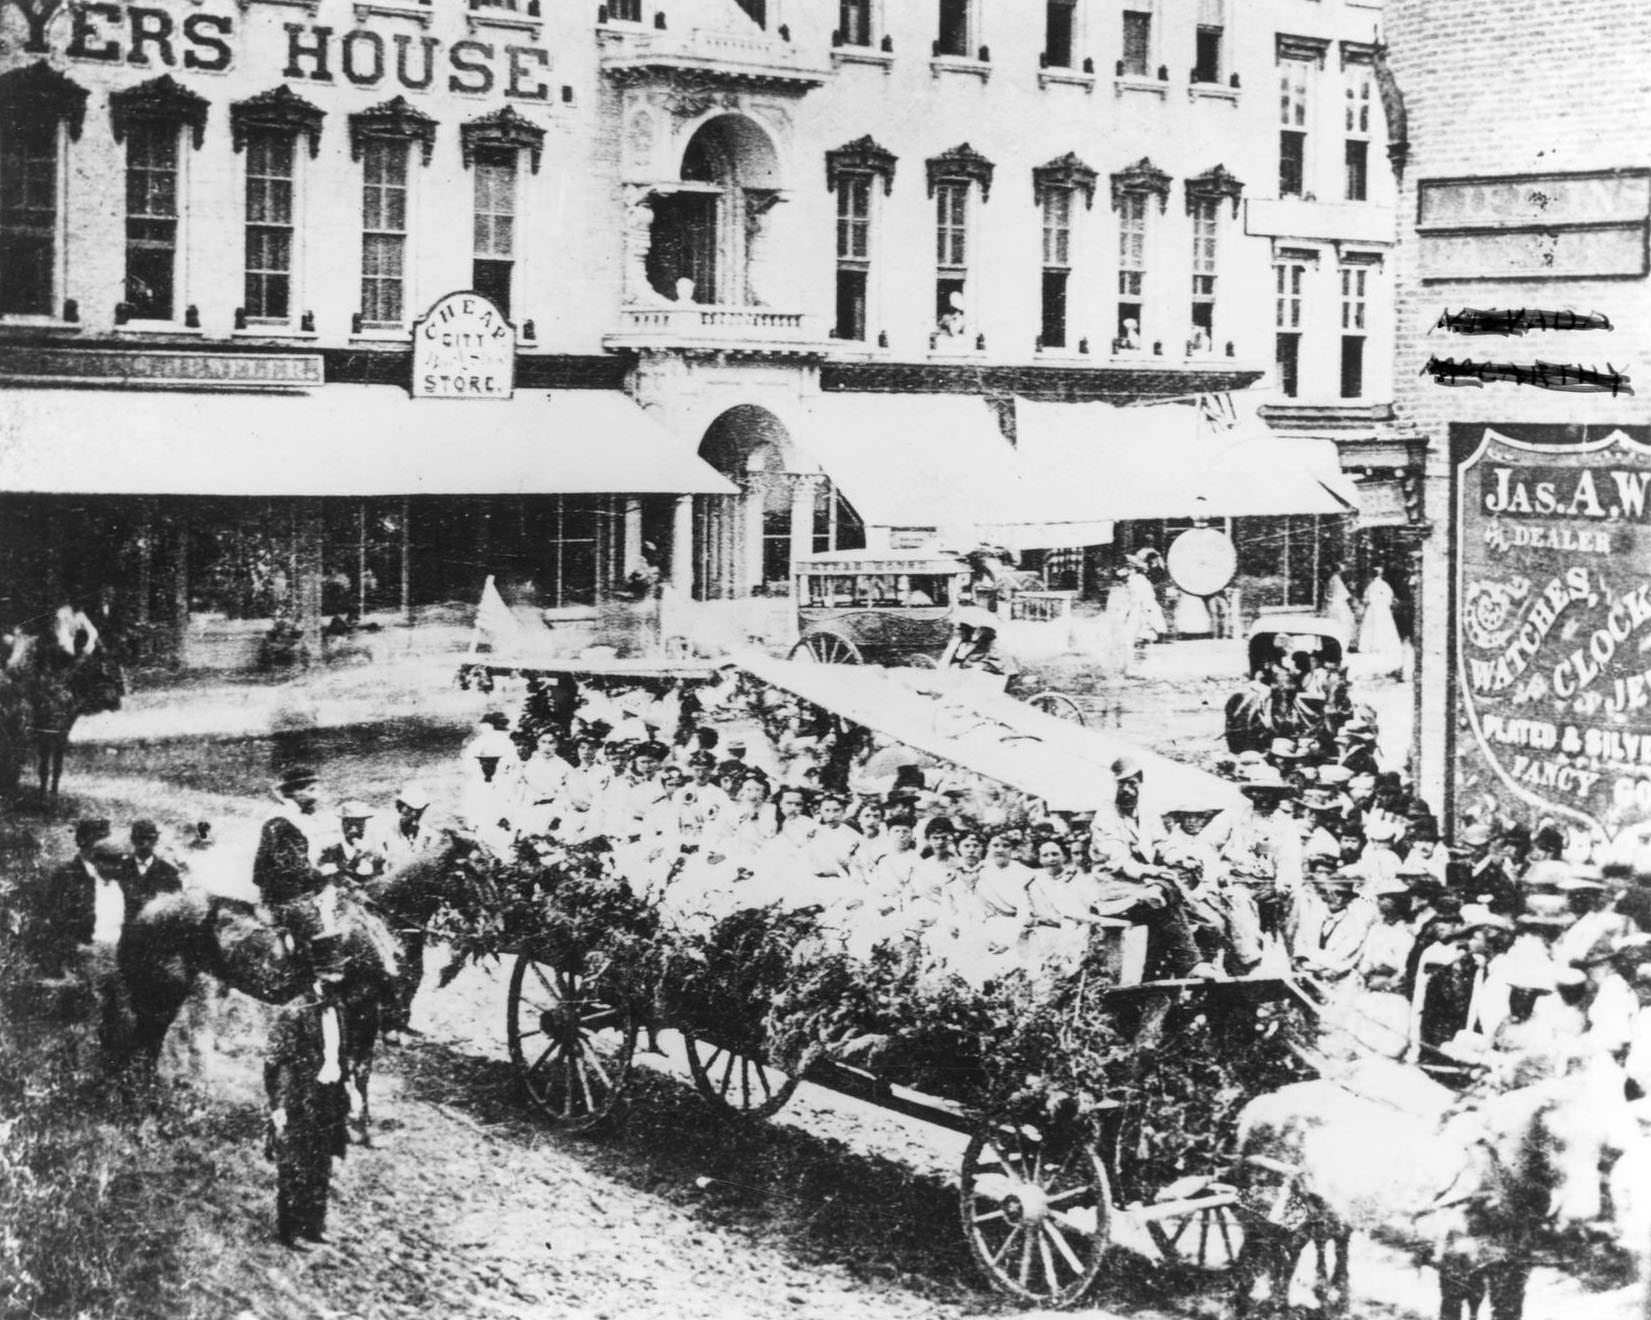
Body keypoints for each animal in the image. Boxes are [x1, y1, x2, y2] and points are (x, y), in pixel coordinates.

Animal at [1234, 1049, 1631, 1320]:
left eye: (1607, 1150)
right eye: (1557, 1136)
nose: (1584, 1217)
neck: (1495, 1173)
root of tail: (1258, 1105)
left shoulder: (1511, 1271)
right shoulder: (1454, 1267)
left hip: (1310, 1214)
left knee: (1289, 1262)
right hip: (1266, 1214)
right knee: (1248, 1270)